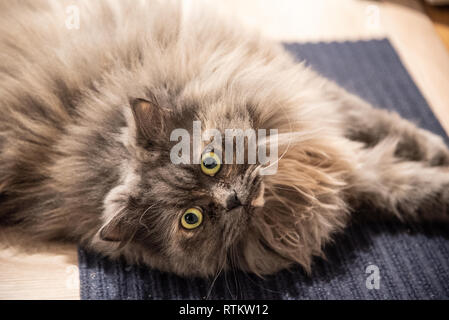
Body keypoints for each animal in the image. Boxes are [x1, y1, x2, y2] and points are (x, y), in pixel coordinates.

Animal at [0, 0, 448, 276]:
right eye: (192, 219)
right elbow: (401, 187)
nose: (231, 200)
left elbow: (381, 126)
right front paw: (438, 188)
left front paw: (437, 149)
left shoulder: (317, 104)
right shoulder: (348, 169)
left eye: (210, 162)